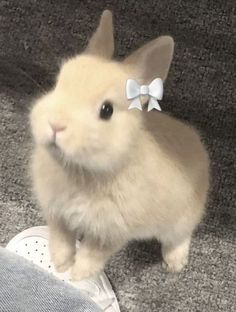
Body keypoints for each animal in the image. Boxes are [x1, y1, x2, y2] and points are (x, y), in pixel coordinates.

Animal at [30, 10, 210, 280]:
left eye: (107, 110)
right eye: (57, 84)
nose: (55, 124)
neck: (81, 171)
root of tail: (197, 144)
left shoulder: (111, 232)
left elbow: (92, 255)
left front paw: (78, 275)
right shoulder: (57, 214)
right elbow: (61, 239)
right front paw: (61, 264)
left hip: (180, 219)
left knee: (179, 237)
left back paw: (175, 264)